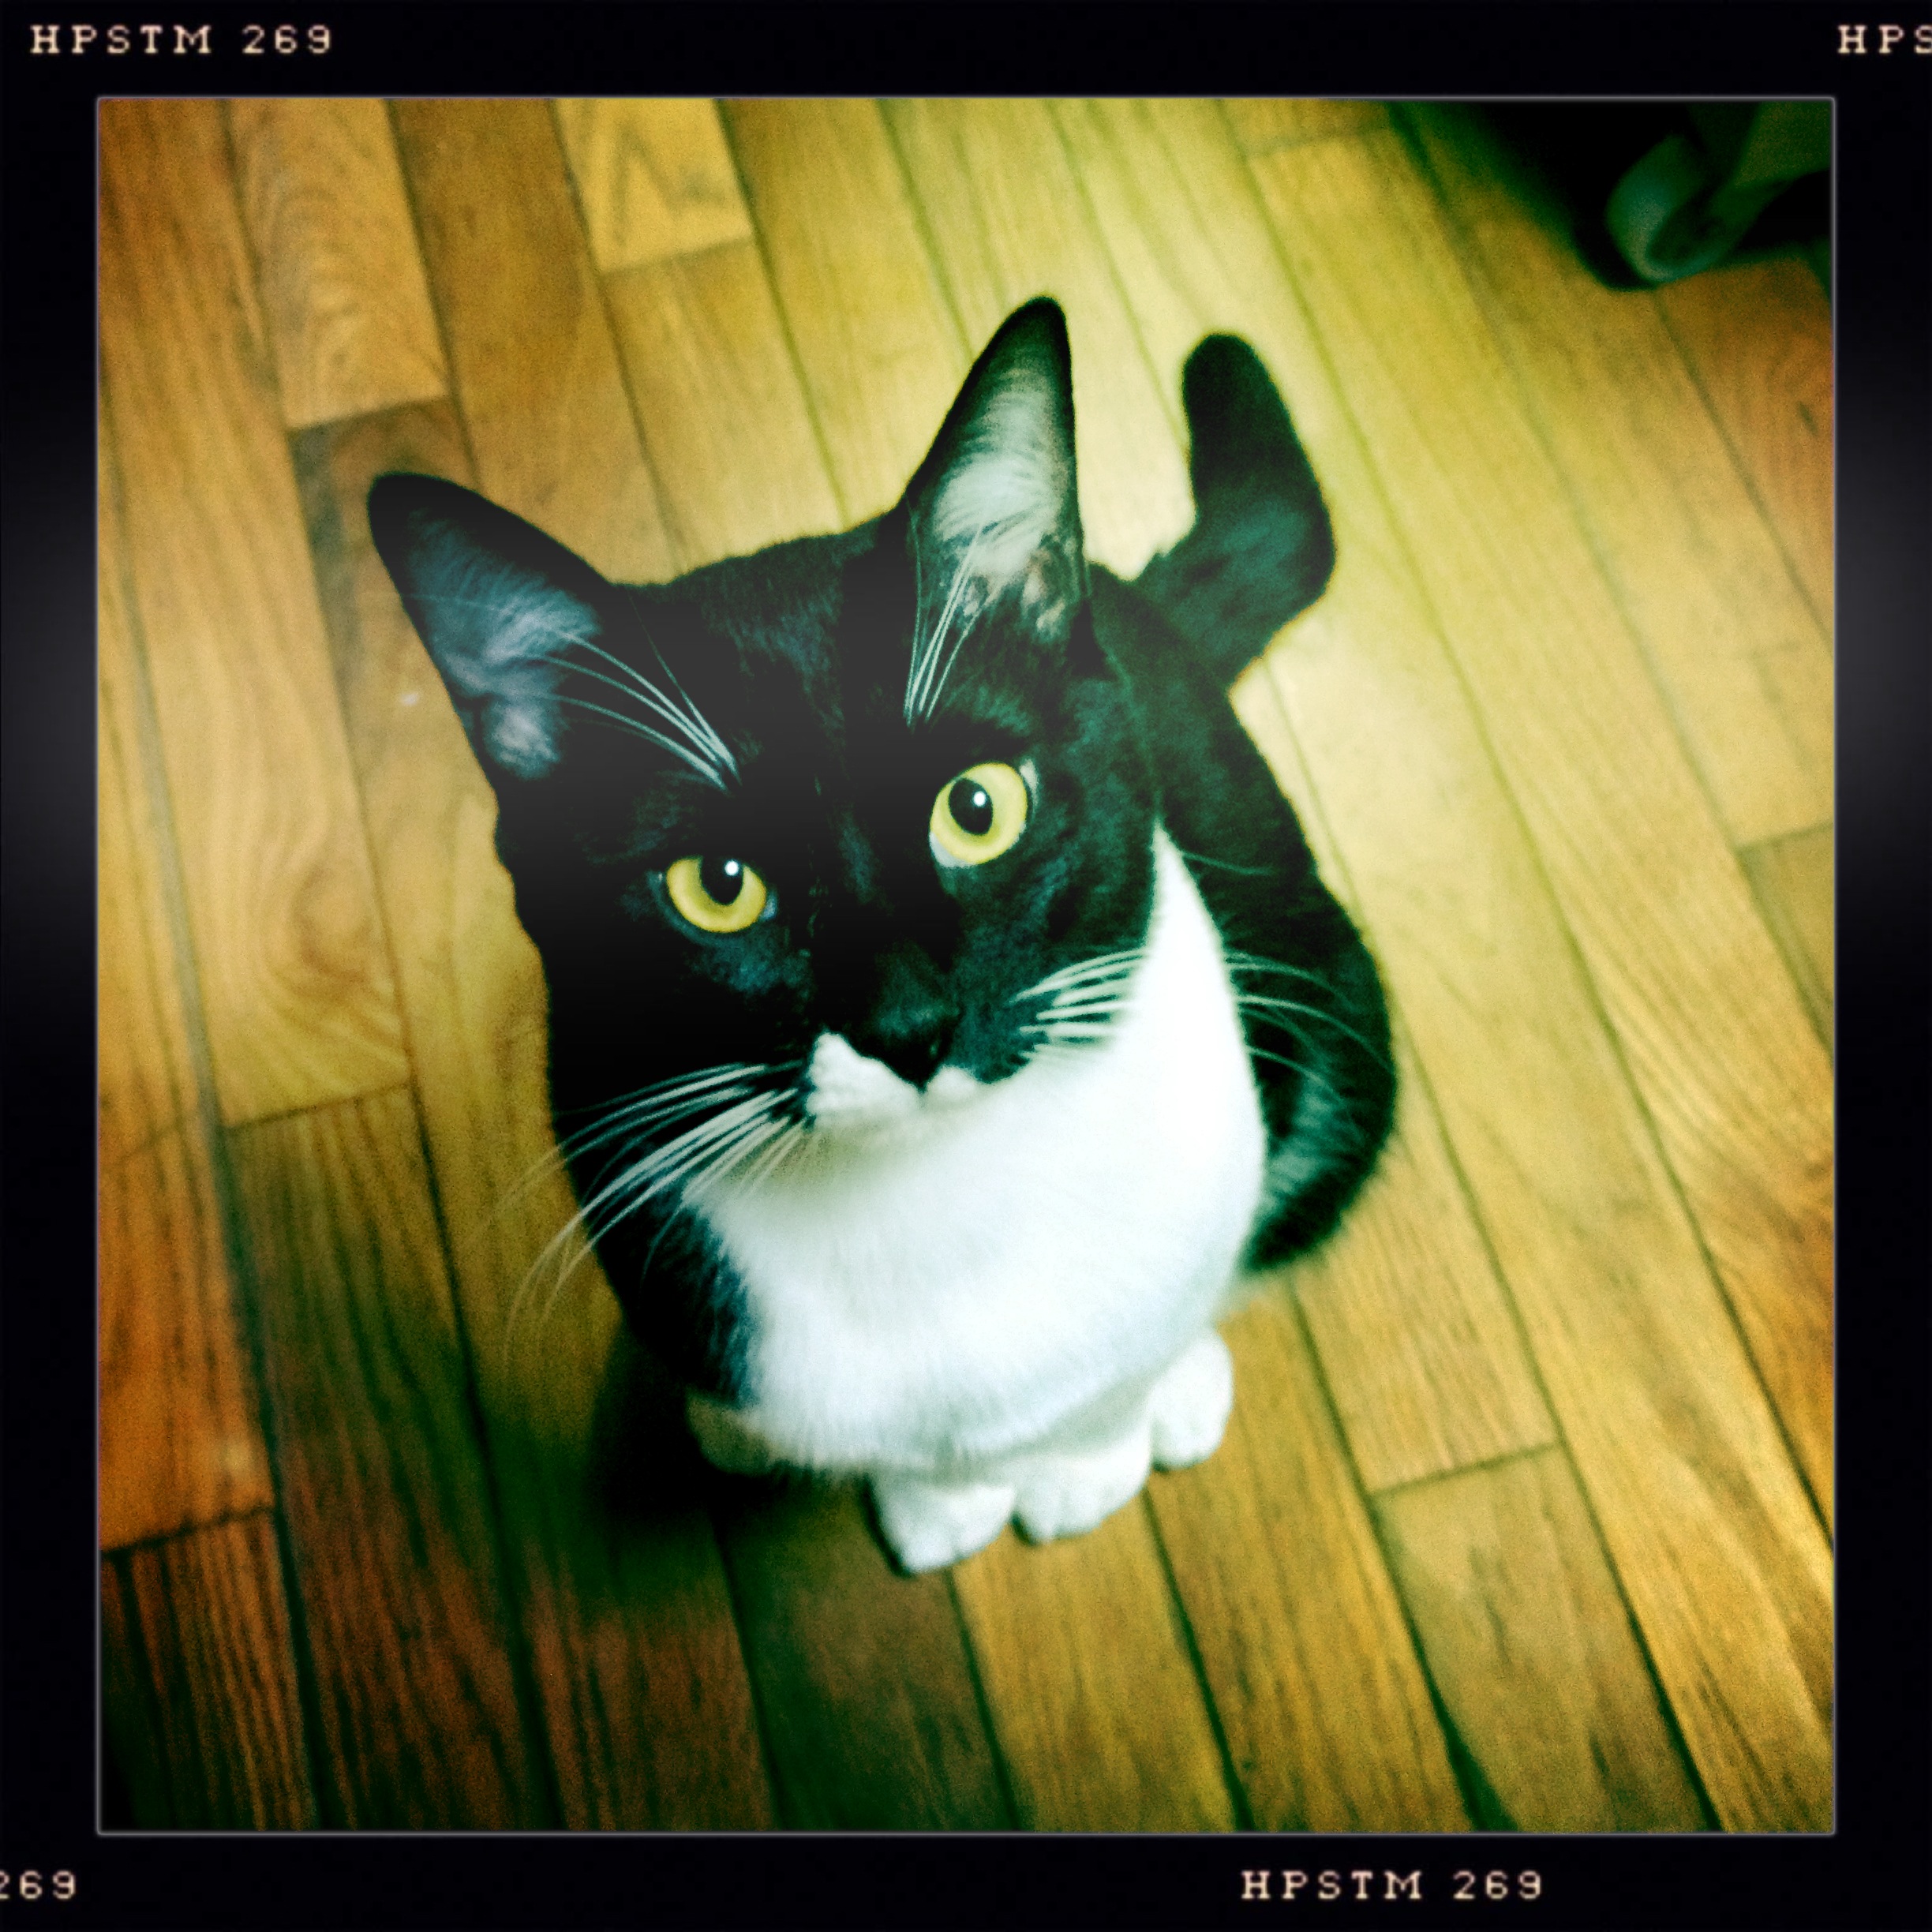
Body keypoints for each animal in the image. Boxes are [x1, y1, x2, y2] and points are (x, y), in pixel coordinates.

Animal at [369, 299, 1394, 1573]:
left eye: (978, 807)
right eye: (718, 886)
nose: (910, 1027)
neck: (930, 1199)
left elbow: (1113, 1372)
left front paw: (1084, 1465)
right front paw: (941, 1502)